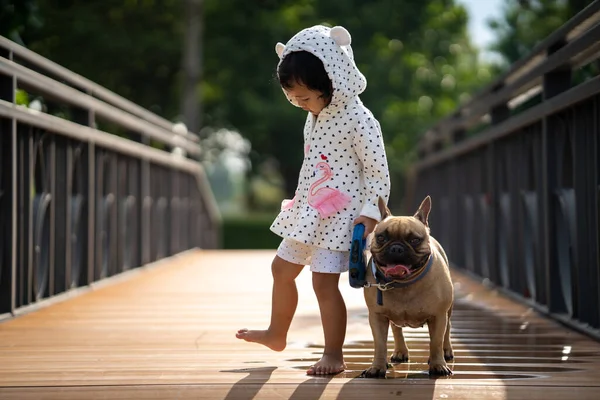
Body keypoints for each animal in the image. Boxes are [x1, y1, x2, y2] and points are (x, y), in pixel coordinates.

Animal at [358, 195, 452, 376]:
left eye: (415, 240)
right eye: (381, 238)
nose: (396, 248)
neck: (404, 283)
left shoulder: (438, 315)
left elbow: (436, 342)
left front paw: (438, 365)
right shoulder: (377, 316)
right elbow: (380, 344)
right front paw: (377, 367)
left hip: (448, 311)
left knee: (447, 329)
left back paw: (447, 352)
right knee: (397, 329)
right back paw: (400, 352)